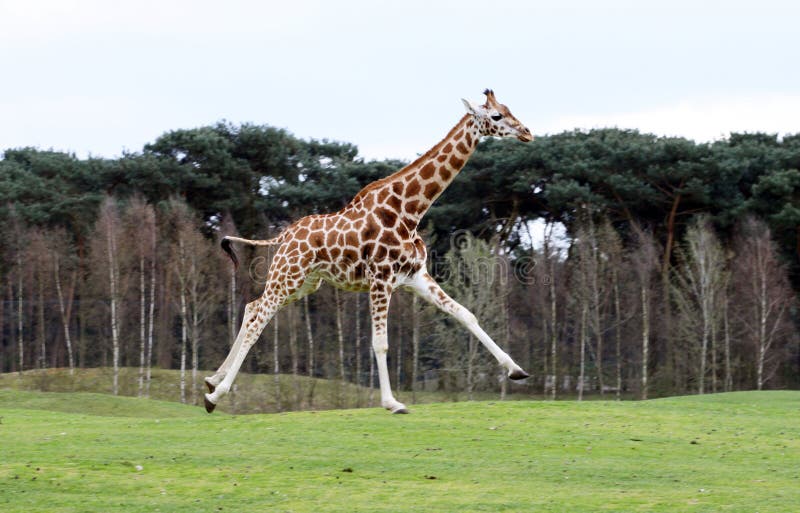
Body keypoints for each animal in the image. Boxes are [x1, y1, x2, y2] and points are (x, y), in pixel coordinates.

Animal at [204, 89, 533, 414]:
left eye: (508, 108)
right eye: (496, 116)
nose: (527, 133)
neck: (409, 212)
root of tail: (284, 235)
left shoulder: (416, 277)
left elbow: (466, 314)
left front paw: (516, 370)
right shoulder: (380, 280)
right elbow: (380, 342)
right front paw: (392, 402)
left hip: (304, 283)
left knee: (252, 308)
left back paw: (212, 380)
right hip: (288, 276)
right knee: (257, 321)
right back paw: (215, 395)